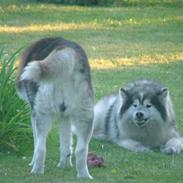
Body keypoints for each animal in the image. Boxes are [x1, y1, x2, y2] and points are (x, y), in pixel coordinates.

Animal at [15, 37, 94, 179]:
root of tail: (67, 49)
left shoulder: (34, 114)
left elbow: (36, 143)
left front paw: (32, 162)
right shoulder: (65, 116)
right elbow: (66, 143)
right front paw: (64, 165)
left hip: (42, 114)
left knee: (40, 147)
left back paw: (36, 171)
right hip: (85, 116)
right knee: (81, 149)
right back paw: (84, 176)